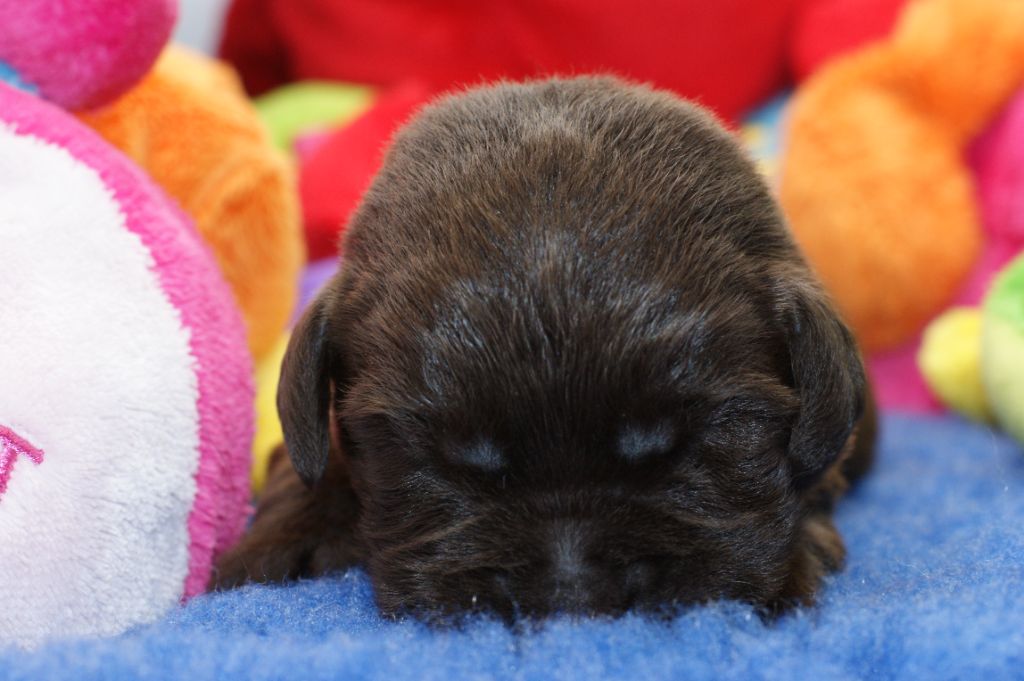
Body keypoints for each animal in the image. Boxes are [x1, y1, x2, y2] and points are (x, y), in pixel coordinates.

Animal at [211, 76, 876, 620]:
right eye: (453, 461)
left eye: (678, 448)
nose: (572, 596)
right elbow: (301, 468)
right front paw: (281, 538)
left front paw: (797, 555)